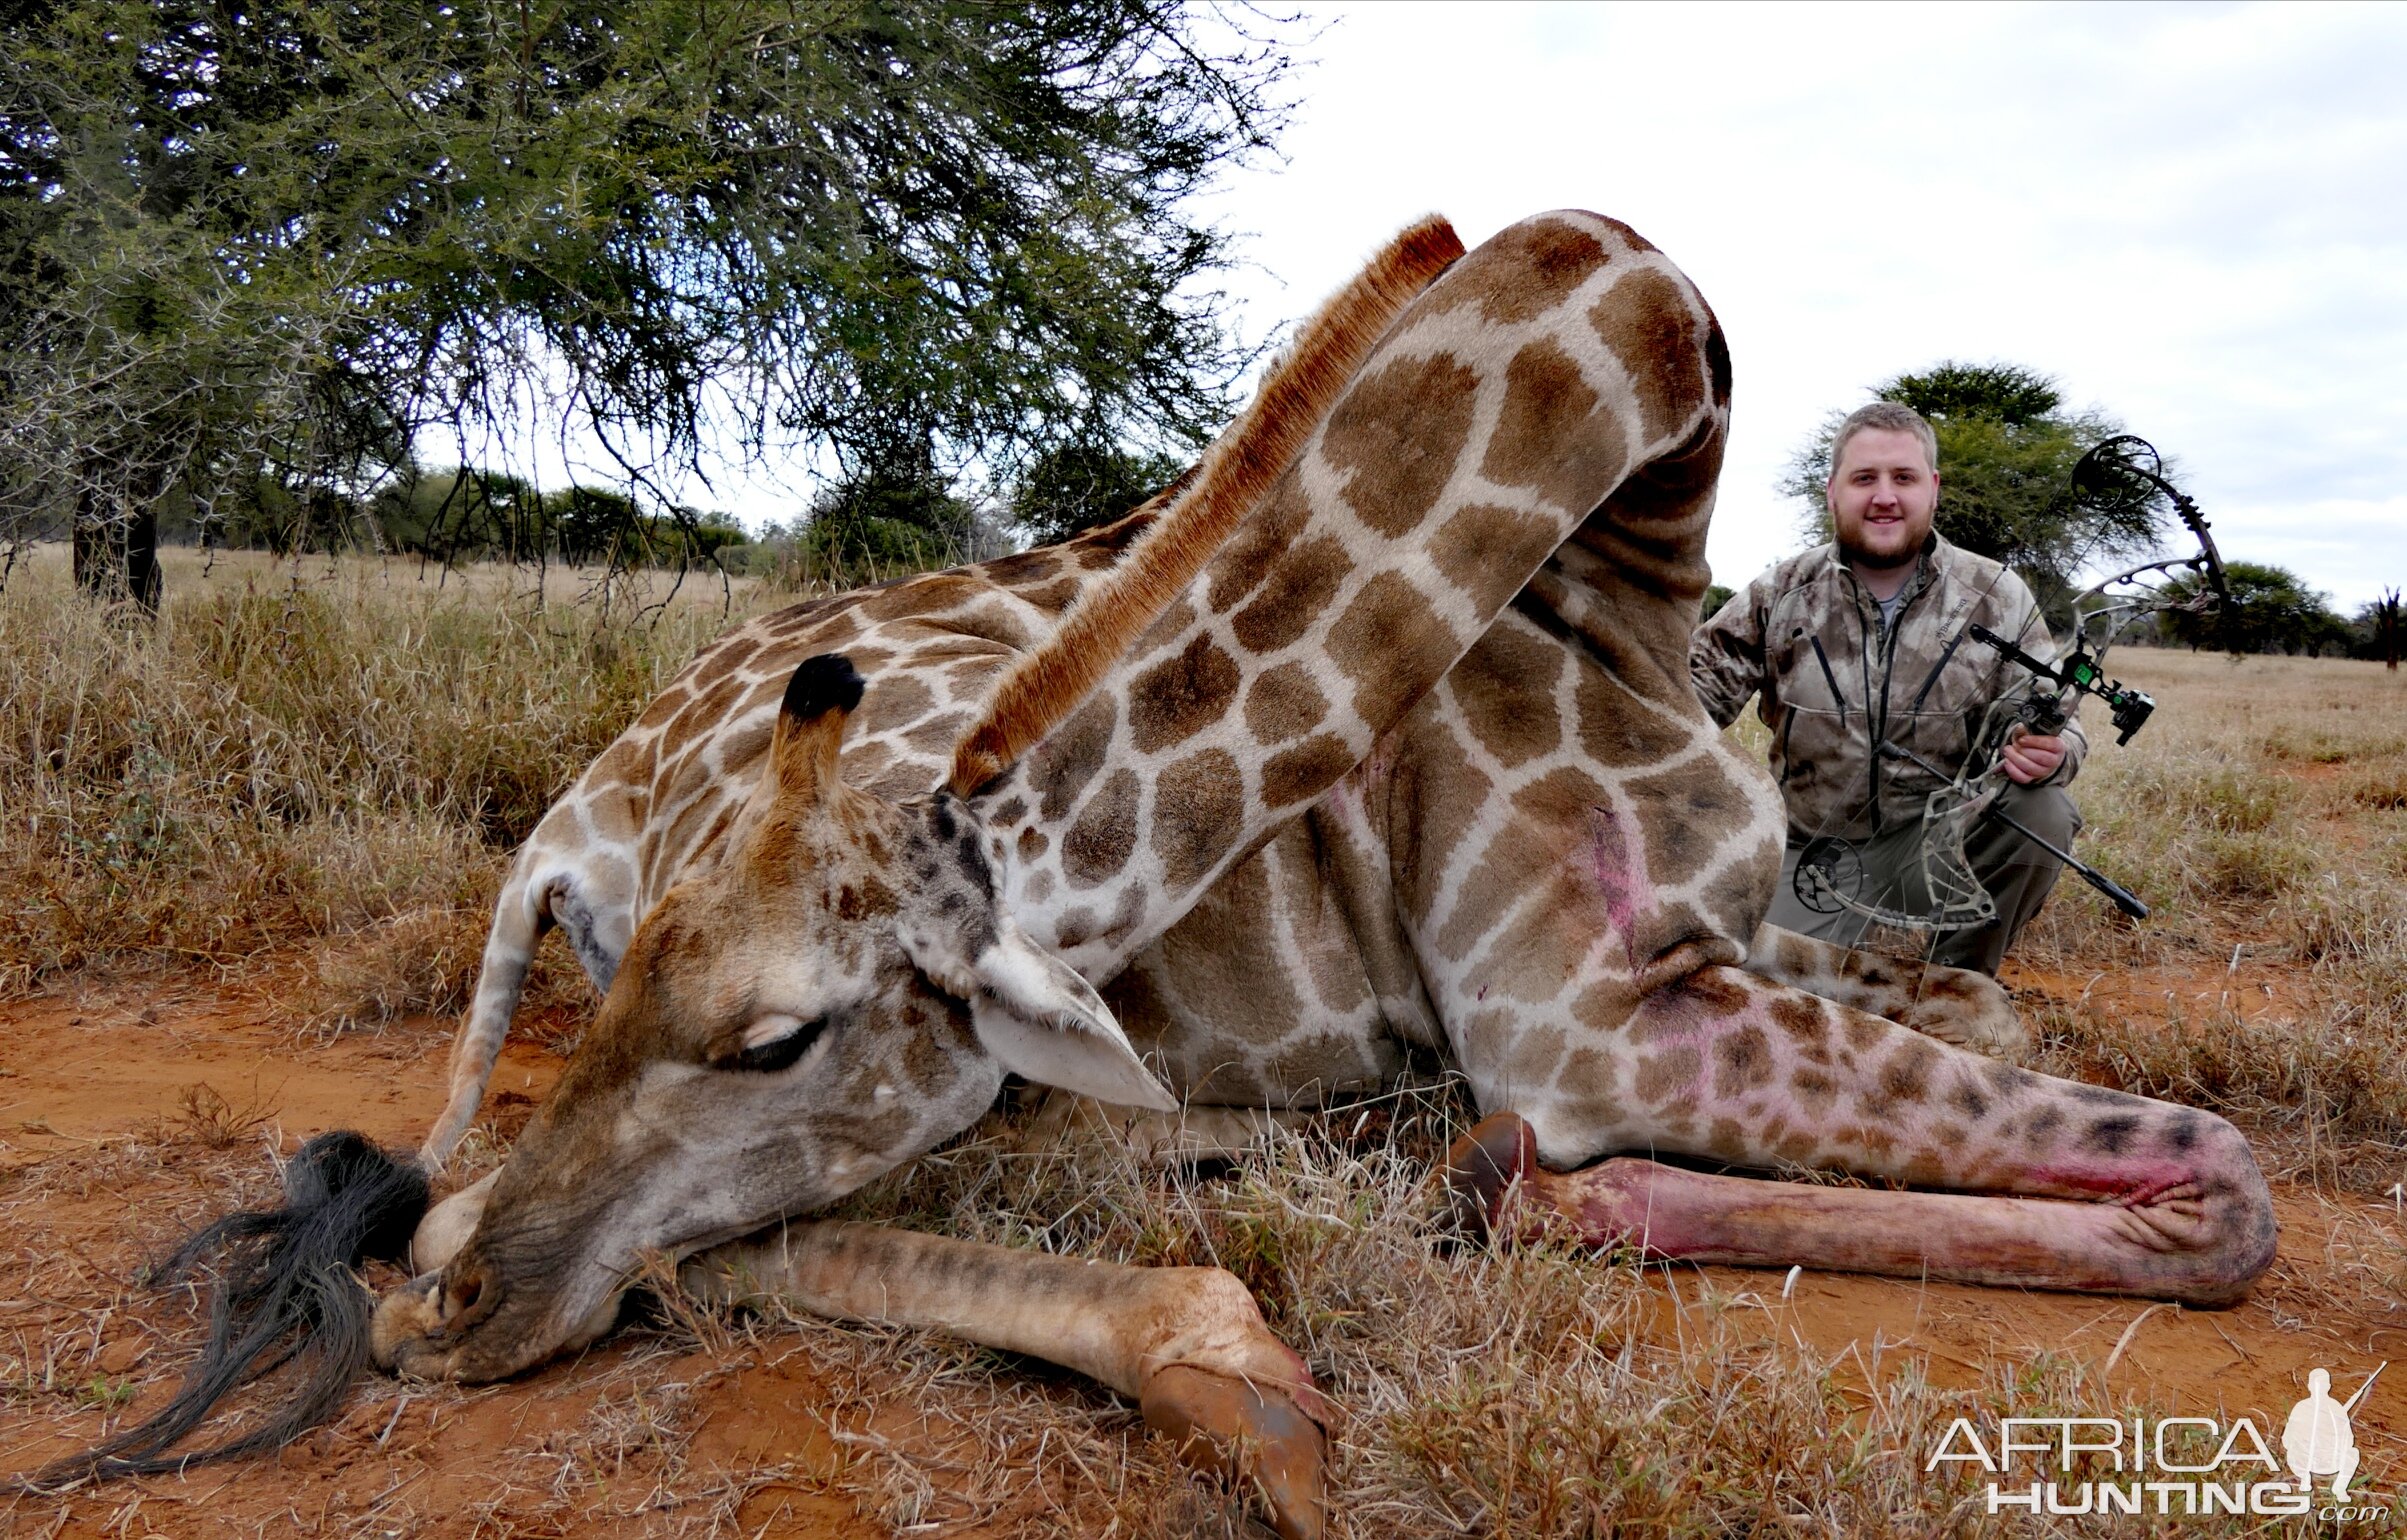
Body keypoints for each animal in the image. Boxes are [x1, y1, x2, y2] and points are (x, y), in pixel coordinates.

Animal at [370, 214, 2272, 1540]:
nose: (463, 1315)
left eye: (771, 1039)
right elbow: (2220, 1176)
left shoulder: (1720, 945)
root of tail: (569, 830)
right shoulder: (1585, 1029)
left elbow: (1998, 1012)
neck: (1634, 563)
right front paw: (1519, 1191)